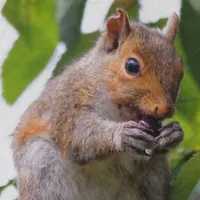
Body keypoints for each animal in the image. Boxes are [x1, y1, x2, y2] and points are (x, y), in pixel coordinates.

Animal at [11, 8, 184, 200]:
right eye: (132, 66)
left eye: (180, 72)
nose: (165, 110)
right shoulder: (70, 104)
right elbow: (79, 135)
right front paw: (120, 134)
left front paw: (174, 133)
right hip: (41, 166)